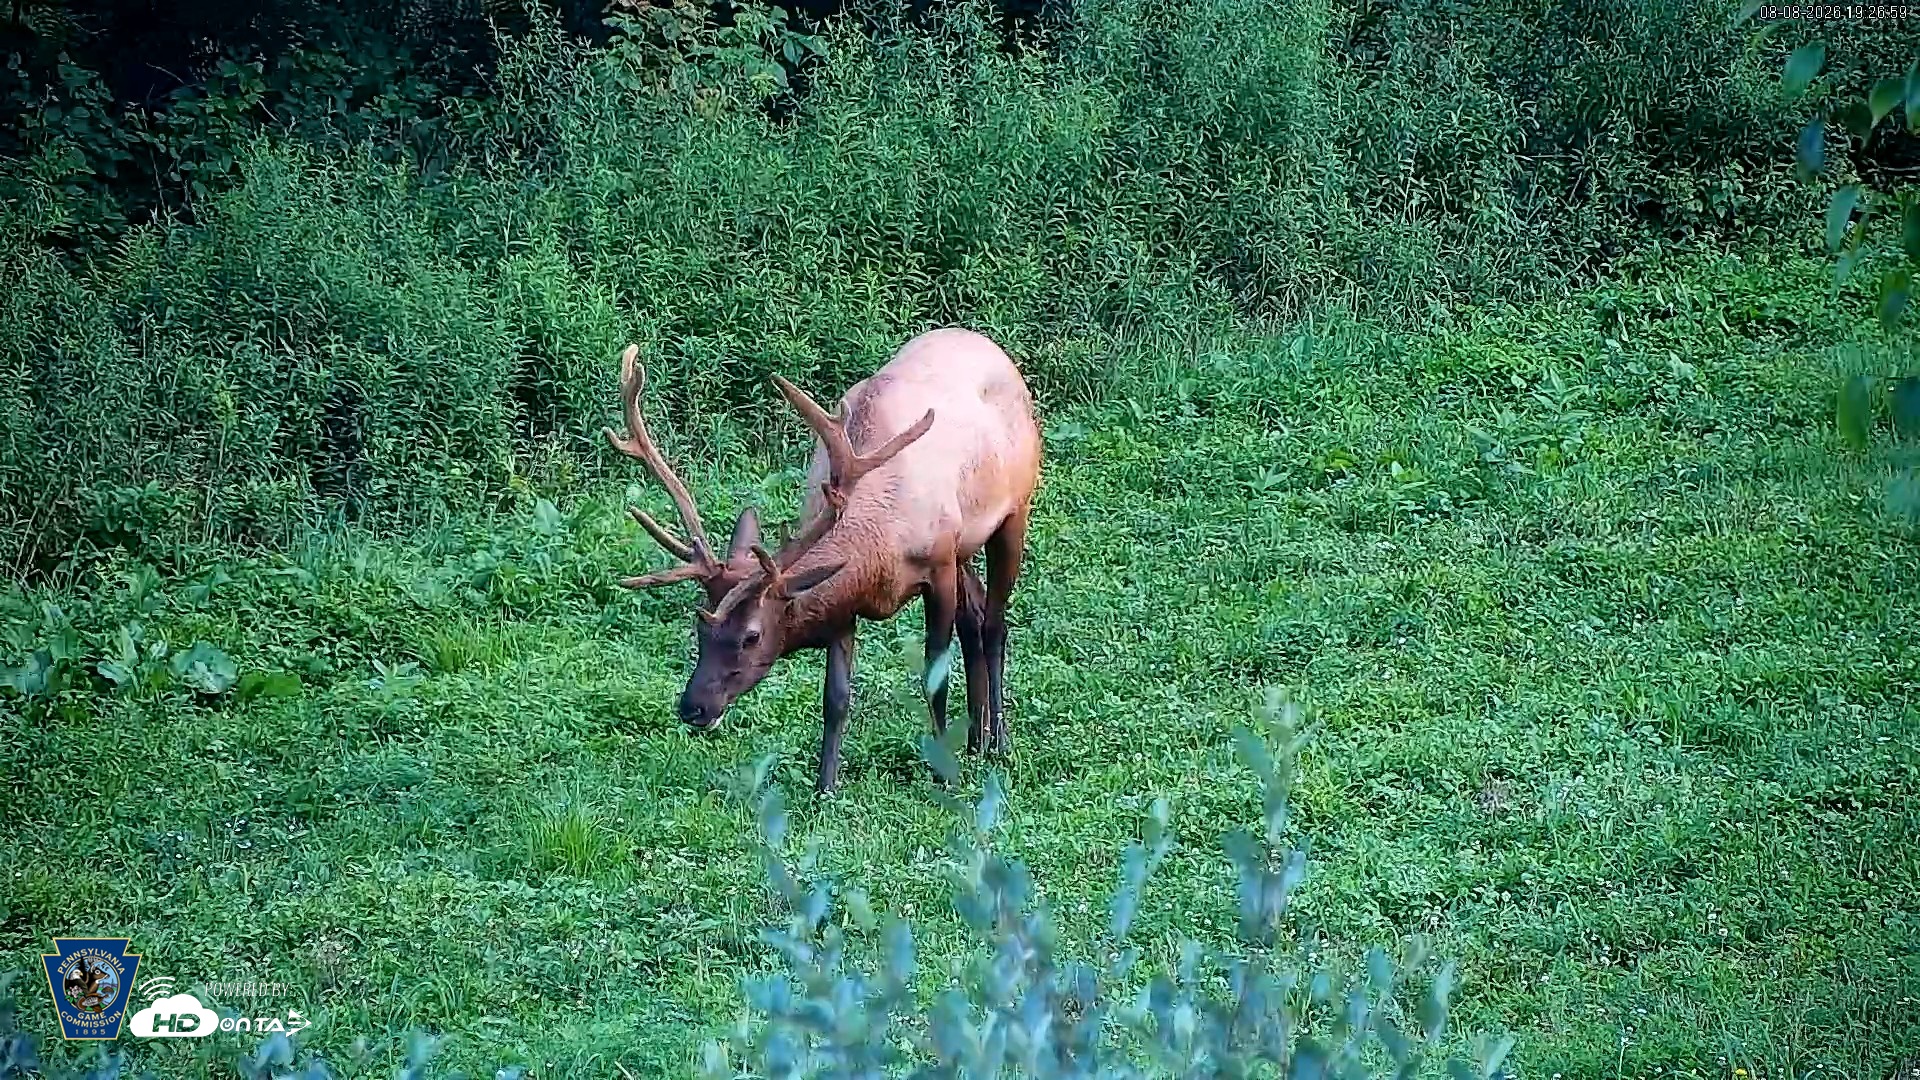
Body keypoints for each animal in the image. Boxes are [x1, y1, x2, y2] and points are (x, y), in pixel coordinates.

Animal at [604, 328, 1042, 794]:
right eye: (699, 627)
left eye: (751, 636)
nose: (692, 707)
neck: (880, 549)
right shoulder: (846, 604)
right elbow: (836, 696)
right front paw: (825, 786)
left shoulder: (939, 563)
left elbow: (934, 676)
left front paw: (943, 772)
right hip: (967, 547)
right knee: (974, 615)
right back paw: (976, 741)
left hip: (1014, 511)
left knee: (994, 622)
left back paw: (998, 742)